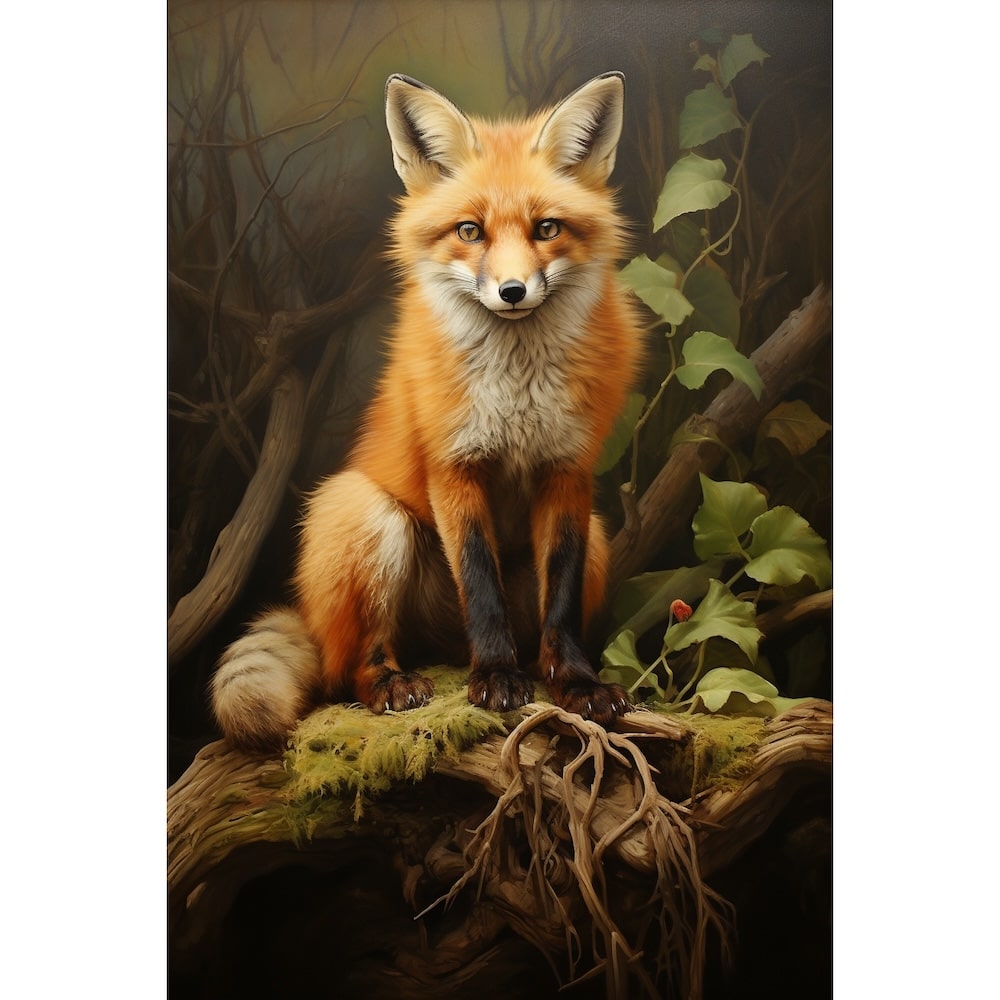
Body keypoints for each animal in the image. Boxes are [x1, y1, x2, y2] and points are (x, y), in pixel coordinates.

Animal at [210, 71, 645, 750]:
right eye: (470, 231)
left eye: (547, 228)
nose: (513, 292)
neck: (517, 388)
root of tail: (441, 648)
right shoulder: (453, 466)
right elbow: (481, 584)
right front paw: (494, 678)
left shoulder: (569, 472)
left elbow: (564, 605)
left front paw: (577, 685)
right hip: (366, 513)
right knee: (350, 668)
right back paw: (396, 682)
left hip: (597, 538)